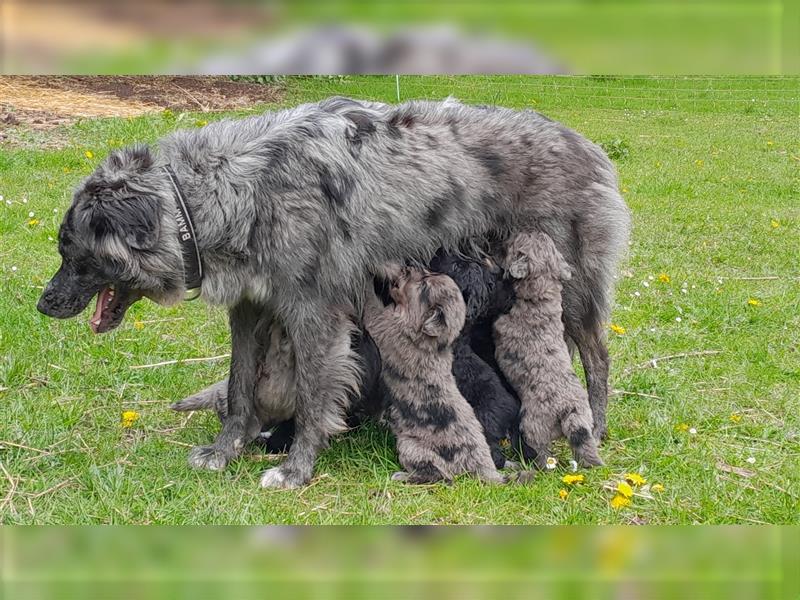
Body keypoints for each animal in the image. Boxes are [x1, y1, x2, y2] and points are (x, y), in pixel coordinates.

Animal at [366, 268, 504, 482]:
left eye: (424, 285)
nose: (407, 268)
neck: (431, 341)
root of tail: (483, 467)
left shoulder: (386, 327)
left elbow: (372, 308)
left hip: (411, 447)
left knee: (438, 476)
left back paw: (403, 476)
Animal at [490, 232, 604, 472]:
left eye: (510, 246)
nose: (499, 243)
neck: (540, 296)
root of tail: (569, 411)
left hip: (533, 425)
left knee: (540, 451)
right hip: (583, 423)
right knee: (585, 446)